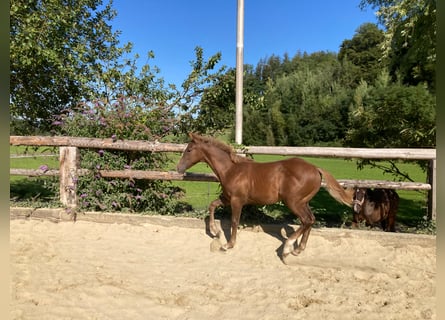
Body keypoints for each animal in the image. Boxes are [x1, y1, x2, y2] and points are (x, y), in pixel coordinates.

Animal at [175, 134, 352, 262]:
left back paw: (287, 248)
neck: (231, 170)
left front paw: (228, 244)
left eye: (189, 150)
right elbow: (212, 205)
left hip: (293, 202)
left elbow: (234, 221)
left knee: (306, 220)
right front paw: (214, 230)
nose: (178, 168)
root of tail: (315, 168)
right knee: (311, 220)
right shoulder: (226, 198)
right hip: (304, 202)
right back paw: (298, 249)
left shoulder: (237, 201)